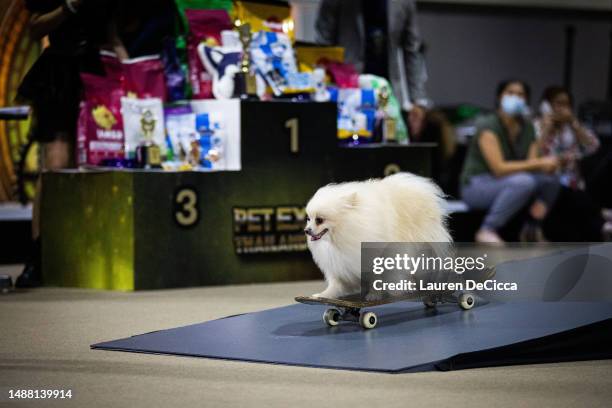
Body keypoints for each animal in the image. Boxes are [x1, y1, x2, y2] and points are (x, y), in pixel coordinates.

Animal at [304, 172, 450, 300]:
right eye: (308, 219)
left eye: (320, 220)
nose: (306, 230)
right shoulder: (339, 262)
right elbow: (336, 283)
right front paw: (325, 295)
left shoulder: (378, 256)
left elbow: (377, 278)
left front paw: (374, 295)